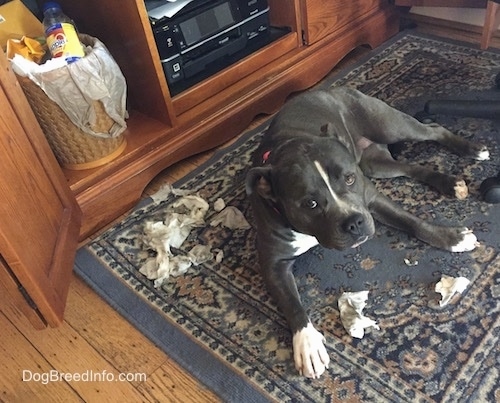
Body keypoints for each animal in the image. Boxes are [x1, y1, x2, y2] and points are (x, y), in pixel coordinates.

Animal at [246, 87, 488, 380]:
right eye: (310, 203)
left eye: (350, 178)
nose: (354, 222)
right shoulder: (273, 264)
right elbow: (291, 303)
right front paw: (307, 344)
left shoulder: (371, 199)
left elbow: (413, 222)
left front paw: (453, 239)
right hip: (377, 165)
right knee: (408, 167)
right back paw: (449, 183)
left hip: (390, 125)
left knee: (433, 130)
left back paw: (472, 150)